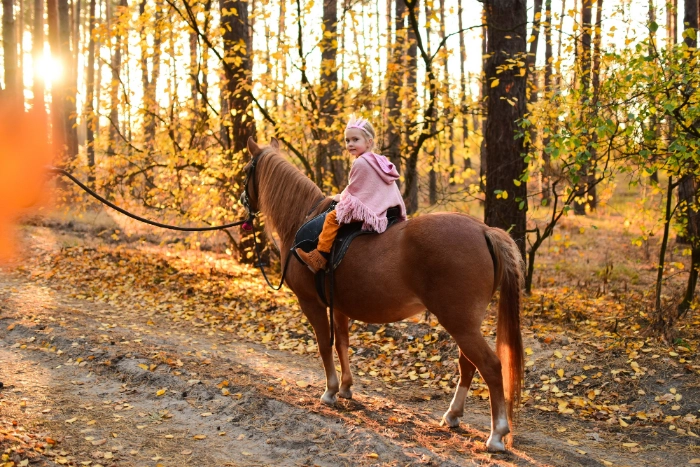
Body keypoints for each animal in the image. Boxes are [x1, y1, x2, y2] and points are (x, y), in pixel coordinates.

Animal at [243, 137, 524, 452]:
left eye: (245, 170)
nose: (243, 201)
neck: (301, 219)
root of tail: (484, 230)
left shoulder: (312, 304)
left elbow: (324, 345)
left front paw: (330, 391)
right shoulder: (338, 306)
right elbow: (342, 344)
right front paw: (346, 387)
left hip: (459, 322)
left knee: (490, 366)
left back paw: (497, 434)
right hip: (466, 323)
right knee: (468, 364)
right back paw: (452, 415)